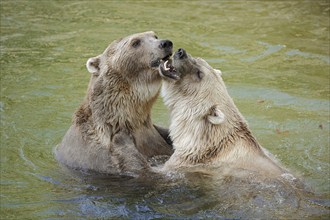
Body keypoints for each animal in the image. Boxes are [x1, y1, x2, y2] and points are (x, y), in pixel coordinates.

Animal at [56, 31, 175, 175]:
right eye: (135, 42)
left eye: (154, 35)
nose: (165, 43)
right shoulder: (94, 155)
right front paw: (121, 138)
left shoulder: (152, 136)